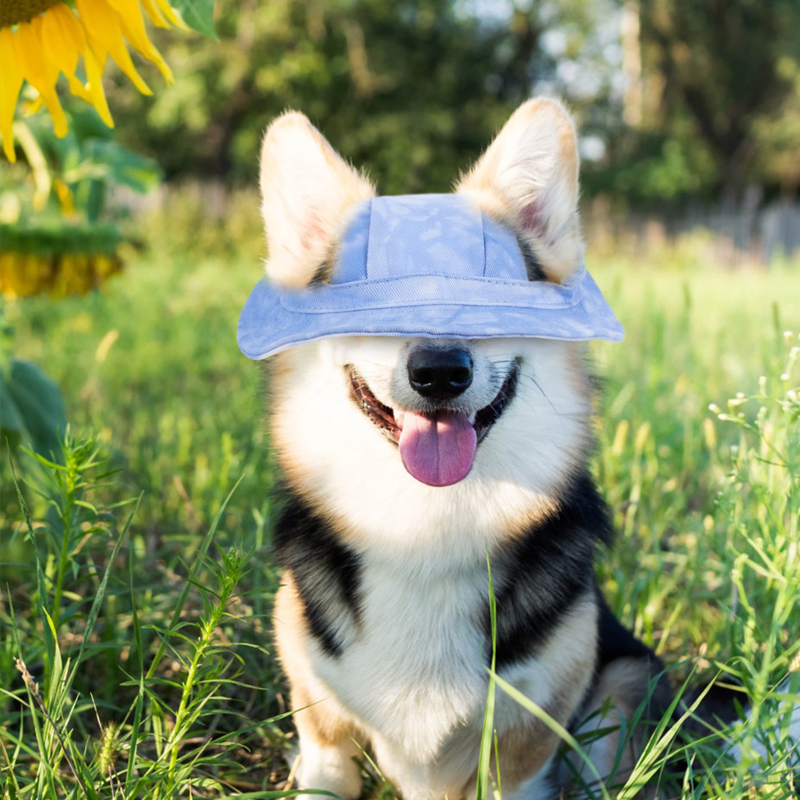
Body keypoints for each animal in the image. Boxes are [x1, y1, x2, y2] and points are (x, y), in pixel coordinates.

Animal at [236, 100, 780, 800]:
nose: (440, 373)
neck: (425, 524)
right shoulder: (322, 727)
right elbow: (326, 763)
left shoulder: (525, 736)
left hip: (621, 687)